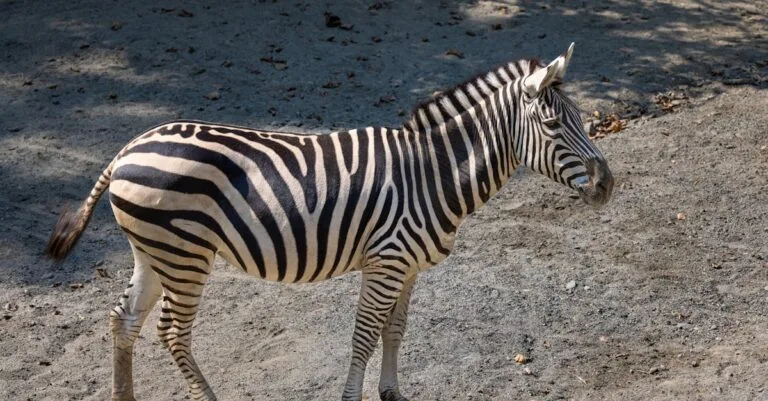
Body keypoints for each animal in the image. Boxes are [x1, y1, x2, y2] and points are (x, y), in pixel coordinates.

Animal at [46, 43, 613, 401]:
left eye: (582, 119)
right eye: (554, 124)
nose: (608, 185)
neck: (431, 173)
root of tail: (127, 149)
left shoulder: (406, 267)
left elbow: (394, 331)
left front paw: (392, 392)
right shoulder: (386, 262)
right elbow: (364, 335)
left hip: (153, 252)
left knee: (124, 319)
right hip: (184, 255)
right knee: (171, 331)